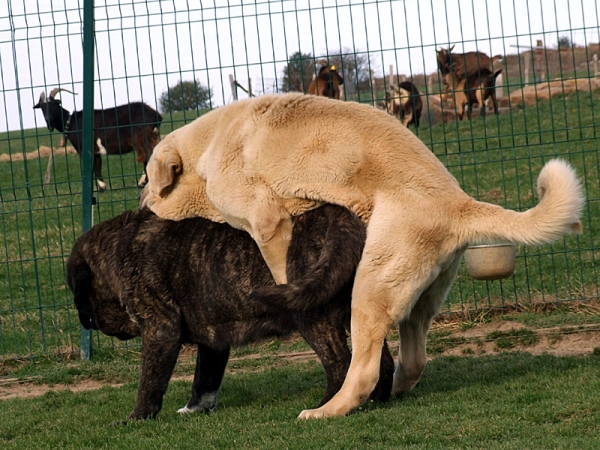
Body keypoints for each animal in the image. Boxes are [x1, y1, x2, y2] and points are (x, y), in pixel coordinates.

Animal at [34, 89, 162, 191]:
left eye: (54, 105)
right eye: (42, 108)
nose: (49, 123)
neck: (70, 122)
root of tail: (156, 115)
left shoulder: (84, 150)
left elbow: (93, 168)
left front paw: (99, 188)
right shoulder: (95, 151)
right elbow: (98, 166)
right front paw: (102, 187)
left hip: (143, 137)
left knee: (148, 156)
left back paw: (144, 182)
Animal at [67, 206, 394, 424]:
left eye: (80, 298)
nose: (83, 320)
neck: (117, 251)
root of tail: (338, 213)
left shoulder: (160, 332)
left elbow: (149, 383)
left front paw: (136, 418)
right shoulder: (213, 340)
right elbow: (204, 380)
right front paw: (194, 410)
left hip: (311, 315)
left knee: (340, 364)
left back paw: (324, 409)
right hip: (359, 311)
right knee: (379, 362)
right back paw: (375, 400)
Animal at [139, 93, 580, 420]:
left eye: (143, 179)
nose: (140, 205)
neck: (210, 143)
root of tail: (459, 205)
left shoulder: (268, 220)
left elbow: (278, 266)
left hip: (371, 289)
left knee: (363, 370)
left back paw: (326, 411)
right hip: (416, 296)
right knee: (413, 356)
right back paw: (395, 388)